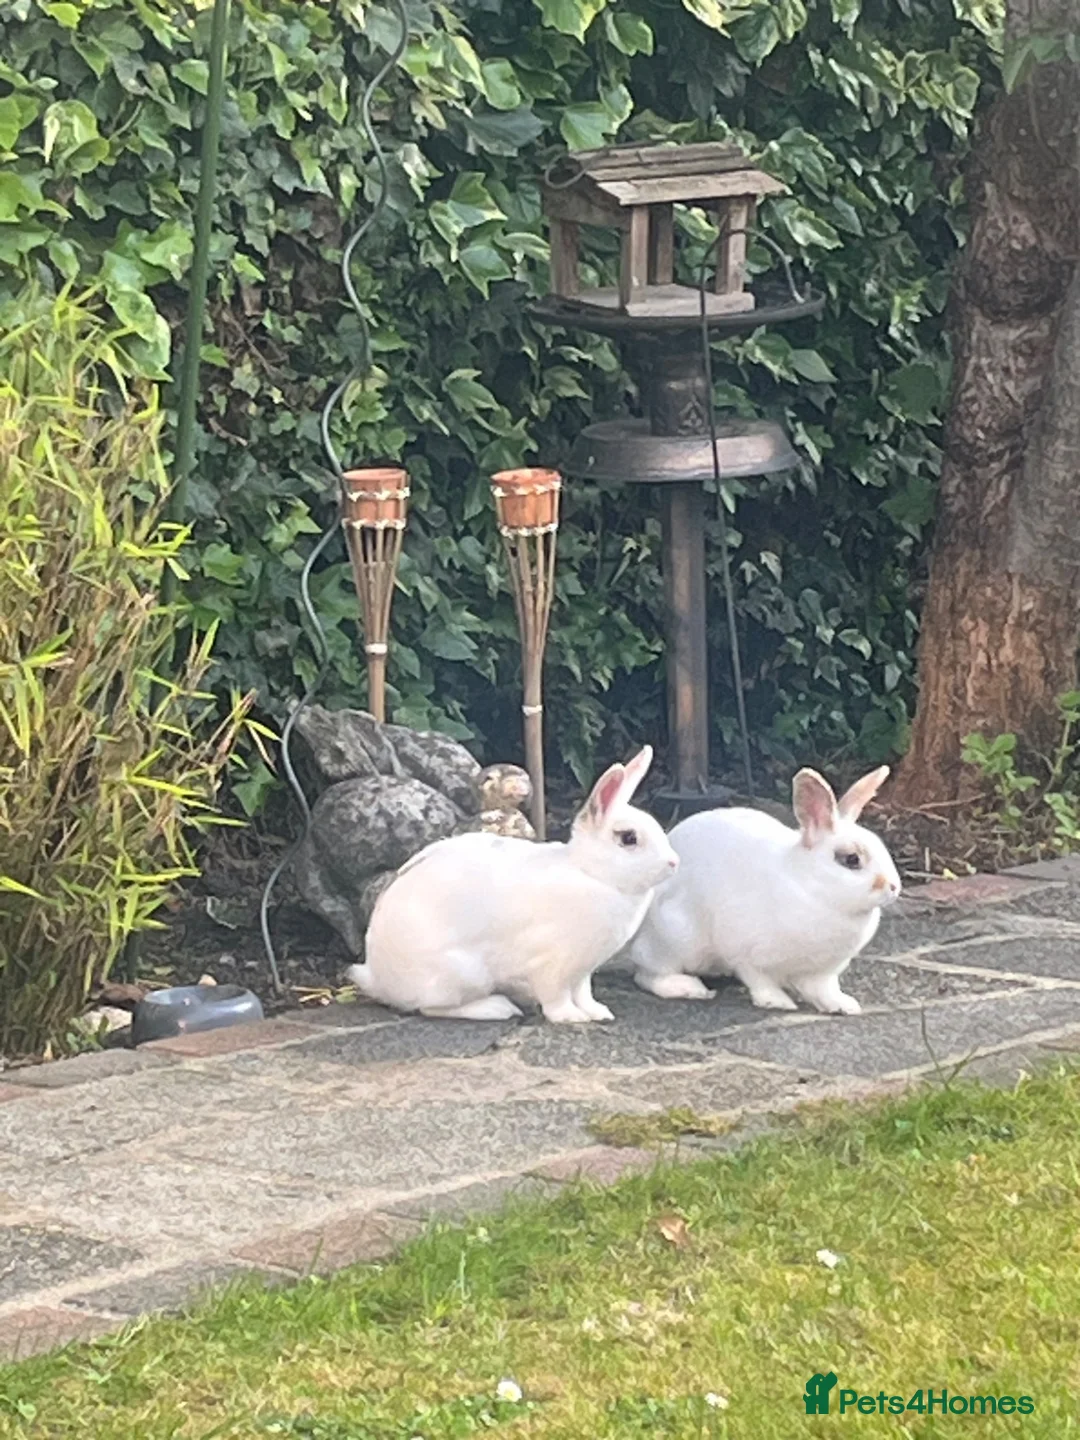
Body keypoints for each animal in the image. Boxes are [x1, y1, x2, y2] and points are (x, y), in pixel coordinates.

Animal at [346, 744, 678, 1023]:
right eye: (629, 838)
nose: (673, 863)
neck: (593, 873)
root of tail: (378, 977)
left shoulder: (583, 970)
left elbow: (584, 993)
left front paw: (598, 1013)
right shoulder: (553, 964)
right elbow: (556, 997)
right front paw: (570, 1018)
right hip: (461, 976)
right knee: (430, 1008)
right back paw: (497, 1008)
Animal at [626, 766, 901, 1015]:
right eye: (851, 859)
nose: (893, 886)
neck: (812, 888)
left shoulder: (821, 972)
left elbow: (823, 990)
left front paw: (843, 1006)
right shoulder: (746, 952)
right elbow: (759, 979)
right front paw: (777, 1002)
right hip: (677, 939)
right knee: (648, 973)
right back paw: (690, 988)